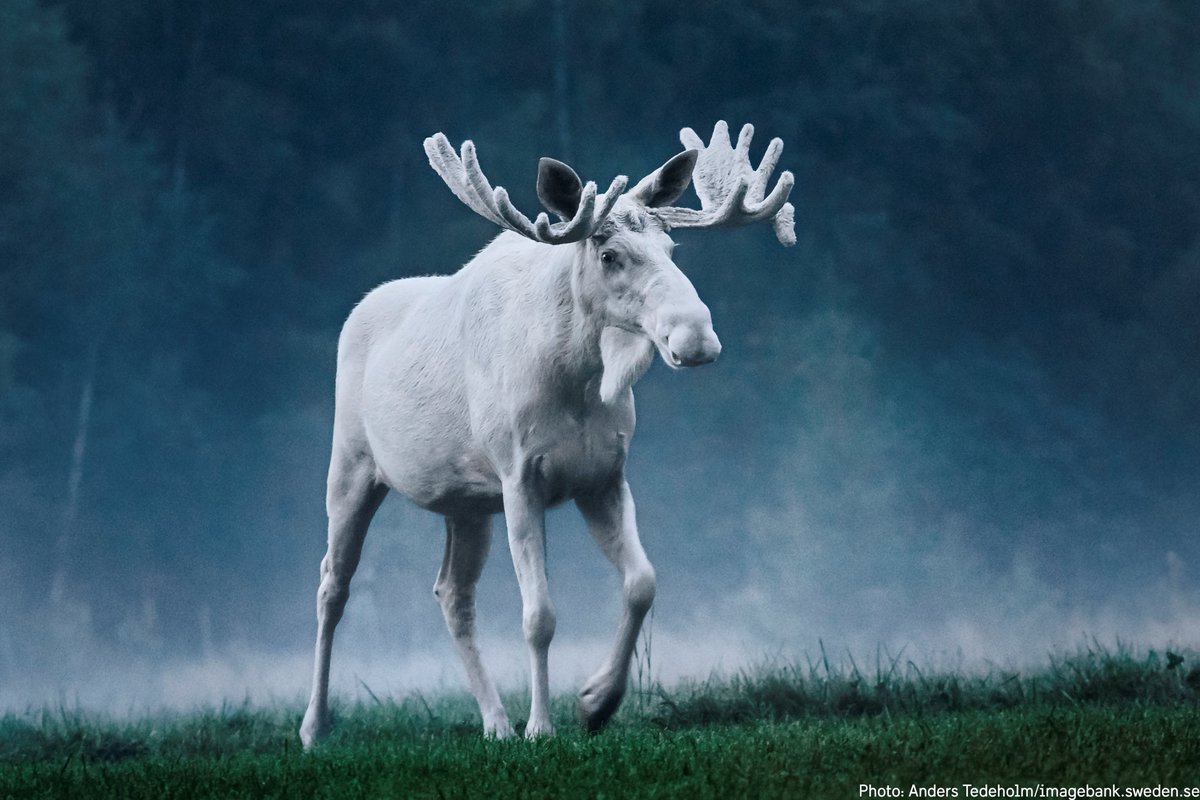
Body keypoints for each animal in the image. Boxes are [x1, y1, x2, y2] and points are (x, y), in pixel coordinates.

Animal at [299, 121, 795, 748]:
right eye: (609, 254)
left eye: (672, 249)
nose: (696, 337)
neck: (576, 380)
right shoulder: (520, 478)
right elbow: (539, 616)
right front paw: (541, 726)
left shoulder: (602, 478)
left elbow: (642, 583)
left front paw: (596, 701)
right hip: (351, 468)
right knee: (331, 586)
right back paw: (315, 727)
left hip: (466, 504)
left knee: (451, 594)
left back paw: (494, 722)